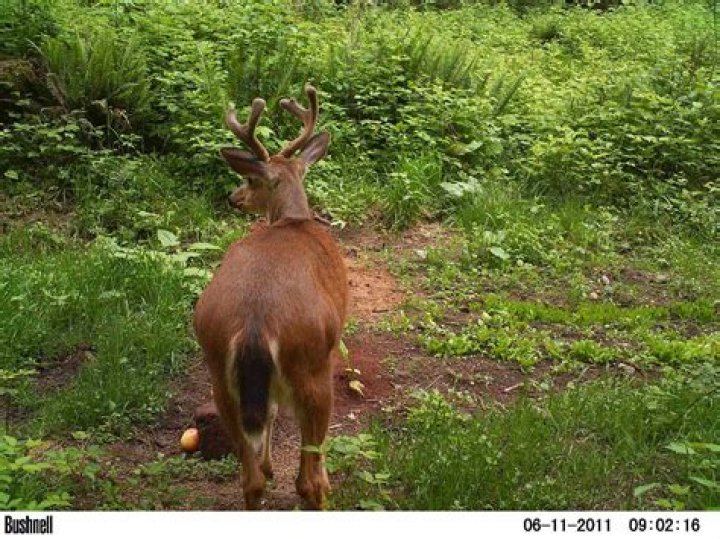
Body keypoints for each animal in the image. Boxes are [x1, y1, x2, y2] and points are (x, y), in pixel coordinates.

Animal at [193, 86, 348, 510]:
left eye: (249, 179)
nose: (233, 197)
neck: (293, 220)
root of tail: (254, 326)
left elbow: (271, 414)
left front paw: (269, 463)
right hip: (313, 370)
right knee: (307, 482)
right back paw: (323, 491)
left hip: (220, 376)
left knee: (250, 480)